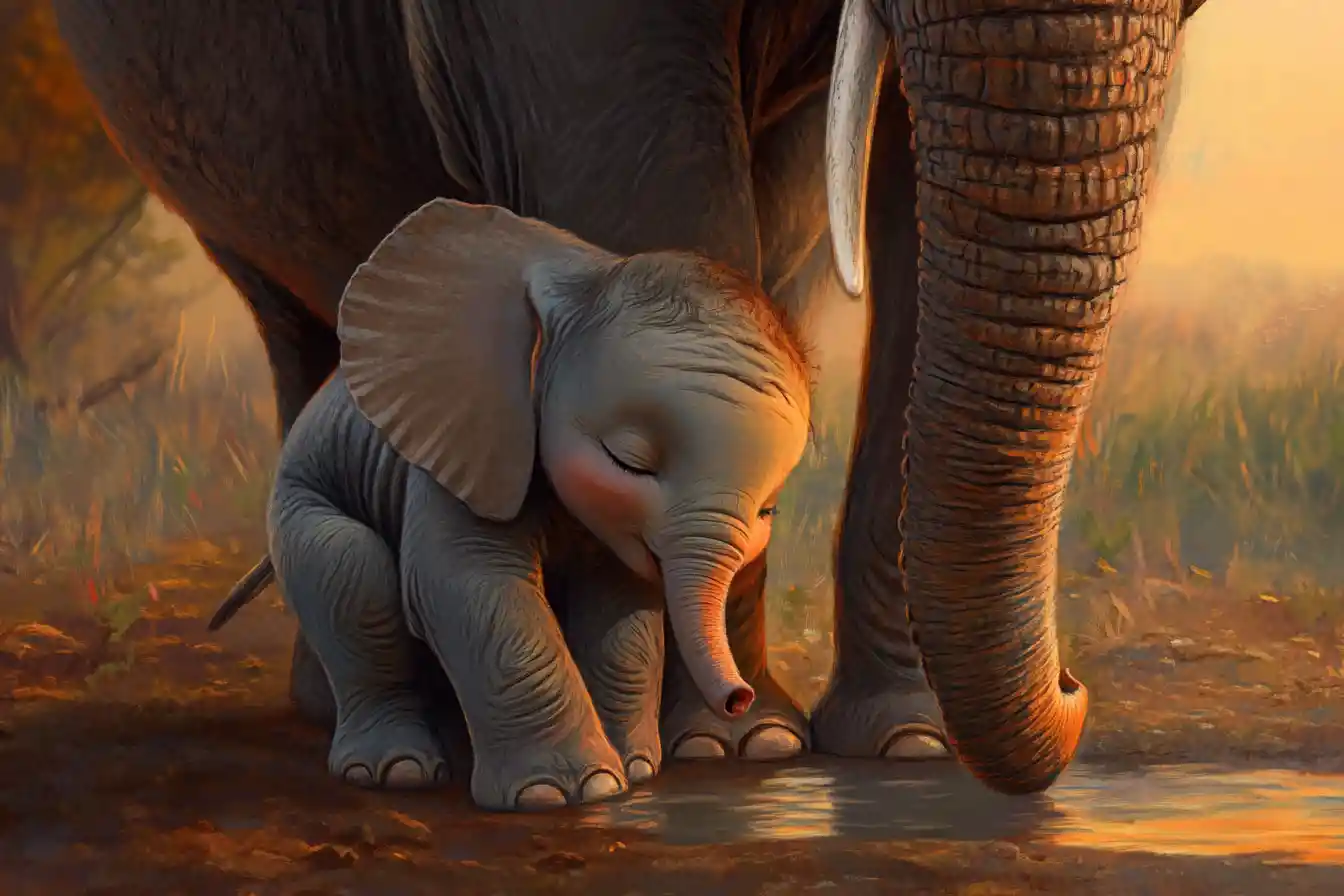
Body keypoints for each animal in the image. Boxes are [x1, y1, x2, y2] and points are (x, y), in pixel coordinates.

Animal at [265, 197, 811, 810]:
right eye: (628, 461)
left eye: (766, 512)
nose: (739, 698)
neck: (583, 291)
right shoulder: (467, 441)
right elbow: (466, 580)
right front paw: (567, 791)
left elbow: (619, 605)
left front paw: (634, 769)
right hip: (302, 494)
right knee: (348, 566)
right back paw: (396, 771)